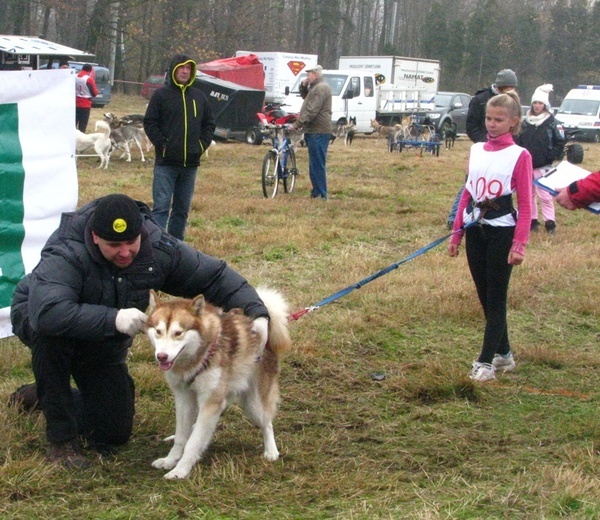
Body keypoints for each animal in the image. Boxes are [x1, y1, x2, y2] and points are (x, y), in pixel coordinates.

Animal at [145, 286, 290, 482]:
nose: (162, 356)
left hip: (253, 405)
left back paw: (271, 451)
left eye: (178, 333)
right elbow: (182, 438)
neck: (199, 356)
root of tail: (263, 326)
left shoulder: (210, 402)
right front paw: (170, 460)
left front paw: (180, 470)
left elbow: (193, 442)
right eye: (158, 331)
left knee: (267, 423)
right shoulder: (183, 398)